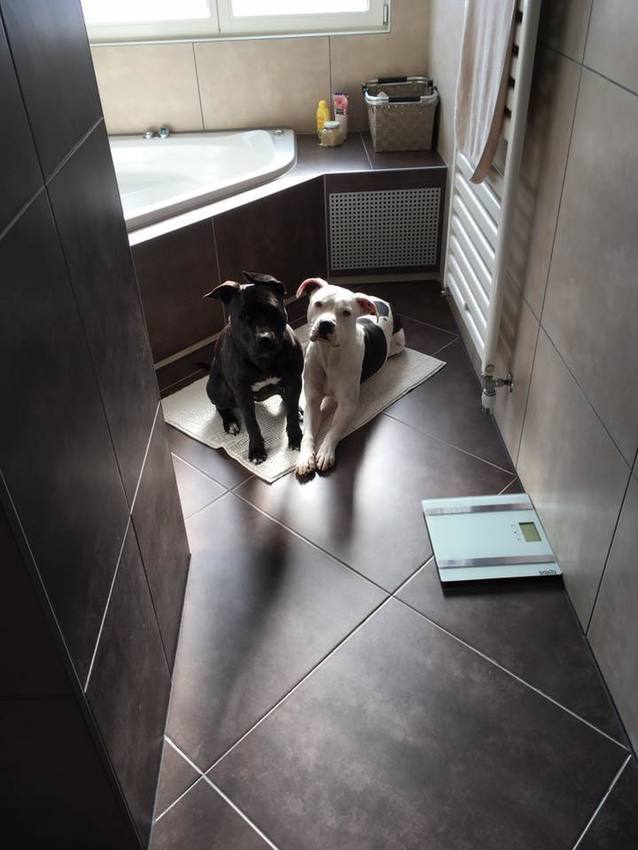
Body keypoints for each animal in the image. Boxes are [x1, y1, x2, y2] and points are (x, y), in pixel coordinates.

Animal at [204, 271, 303, 464]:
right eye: (242, 315)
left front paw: (295, 436)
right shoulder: (242, 393)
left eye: (272, 310)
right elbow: (252, 423)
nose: (264, 338)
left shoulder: (294, 379)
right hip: (217, 389)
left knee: (287, 398)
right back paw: (231, 423)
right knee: (221, 406)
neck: (264, 360)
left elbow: (292, 413)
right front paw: (257, 450)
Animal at [295, 277, 405, 476]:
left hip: (399, 344)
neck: (329, 355)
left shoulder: (347, 405)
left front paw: (325, 452)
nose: (326, 324)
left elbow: (334, 430)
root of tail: (381, 301)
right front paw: (305, 457)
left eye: (346, 313)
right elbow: (307, 433)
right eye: (318, 303)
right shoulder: (313, 401)